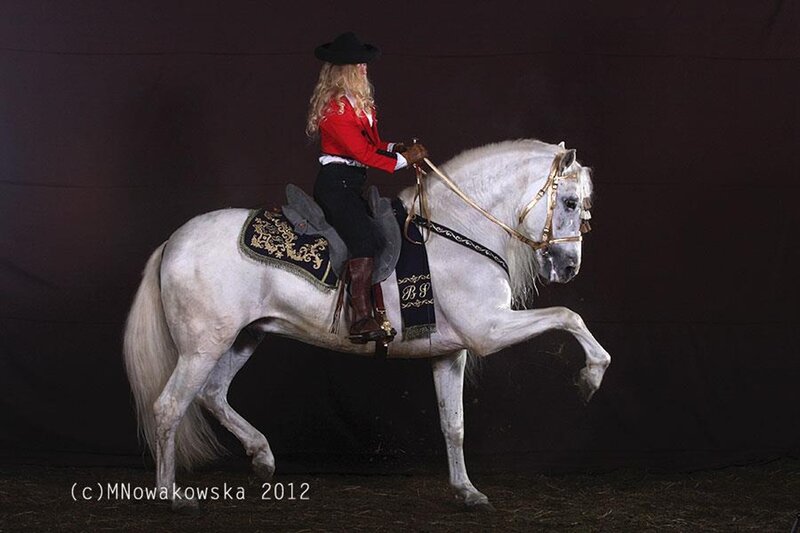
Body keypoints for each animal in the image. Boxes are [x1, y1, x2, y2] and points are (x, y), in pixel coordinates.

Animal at [123, 139, 611, 511]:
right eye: (570, 203)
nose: (568, 267)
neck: (455, 230)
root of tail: (174, 242)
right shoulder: (488, 330)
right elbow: (568, 316)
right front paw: (590, 376)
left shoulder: (450, 353)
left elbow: (453, 426)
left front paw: (467, 492)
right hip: (203, 345)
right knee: (170, 406)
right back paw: (173, 498)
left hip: (243, 337)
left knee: (212, 394)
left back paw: (261, 457)